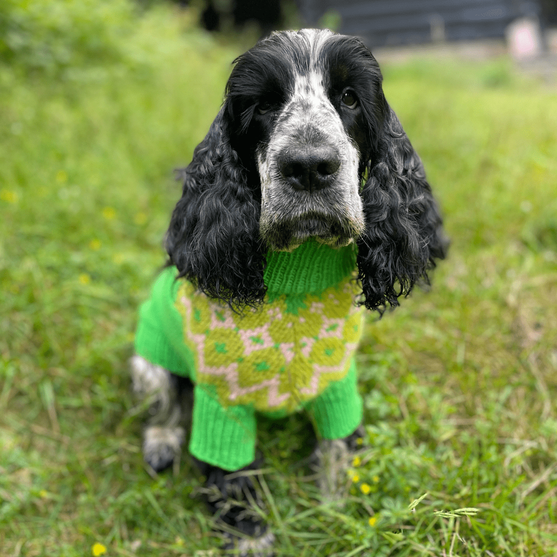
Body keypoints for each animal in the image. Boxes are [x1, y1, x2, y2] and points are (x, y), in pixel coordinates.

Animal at [131, 29, 448, 552]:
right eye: (262, 104)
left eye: (349, 97)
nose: (310, 167)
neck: (299, 270)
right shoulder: (222, 401)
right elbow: (232, 472)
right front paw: (250, 536)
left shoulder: (338, 384)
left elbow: (338, 449)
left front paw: (337, 512)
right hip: (148, 362)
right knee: (165, 404)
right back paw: (160, 444)